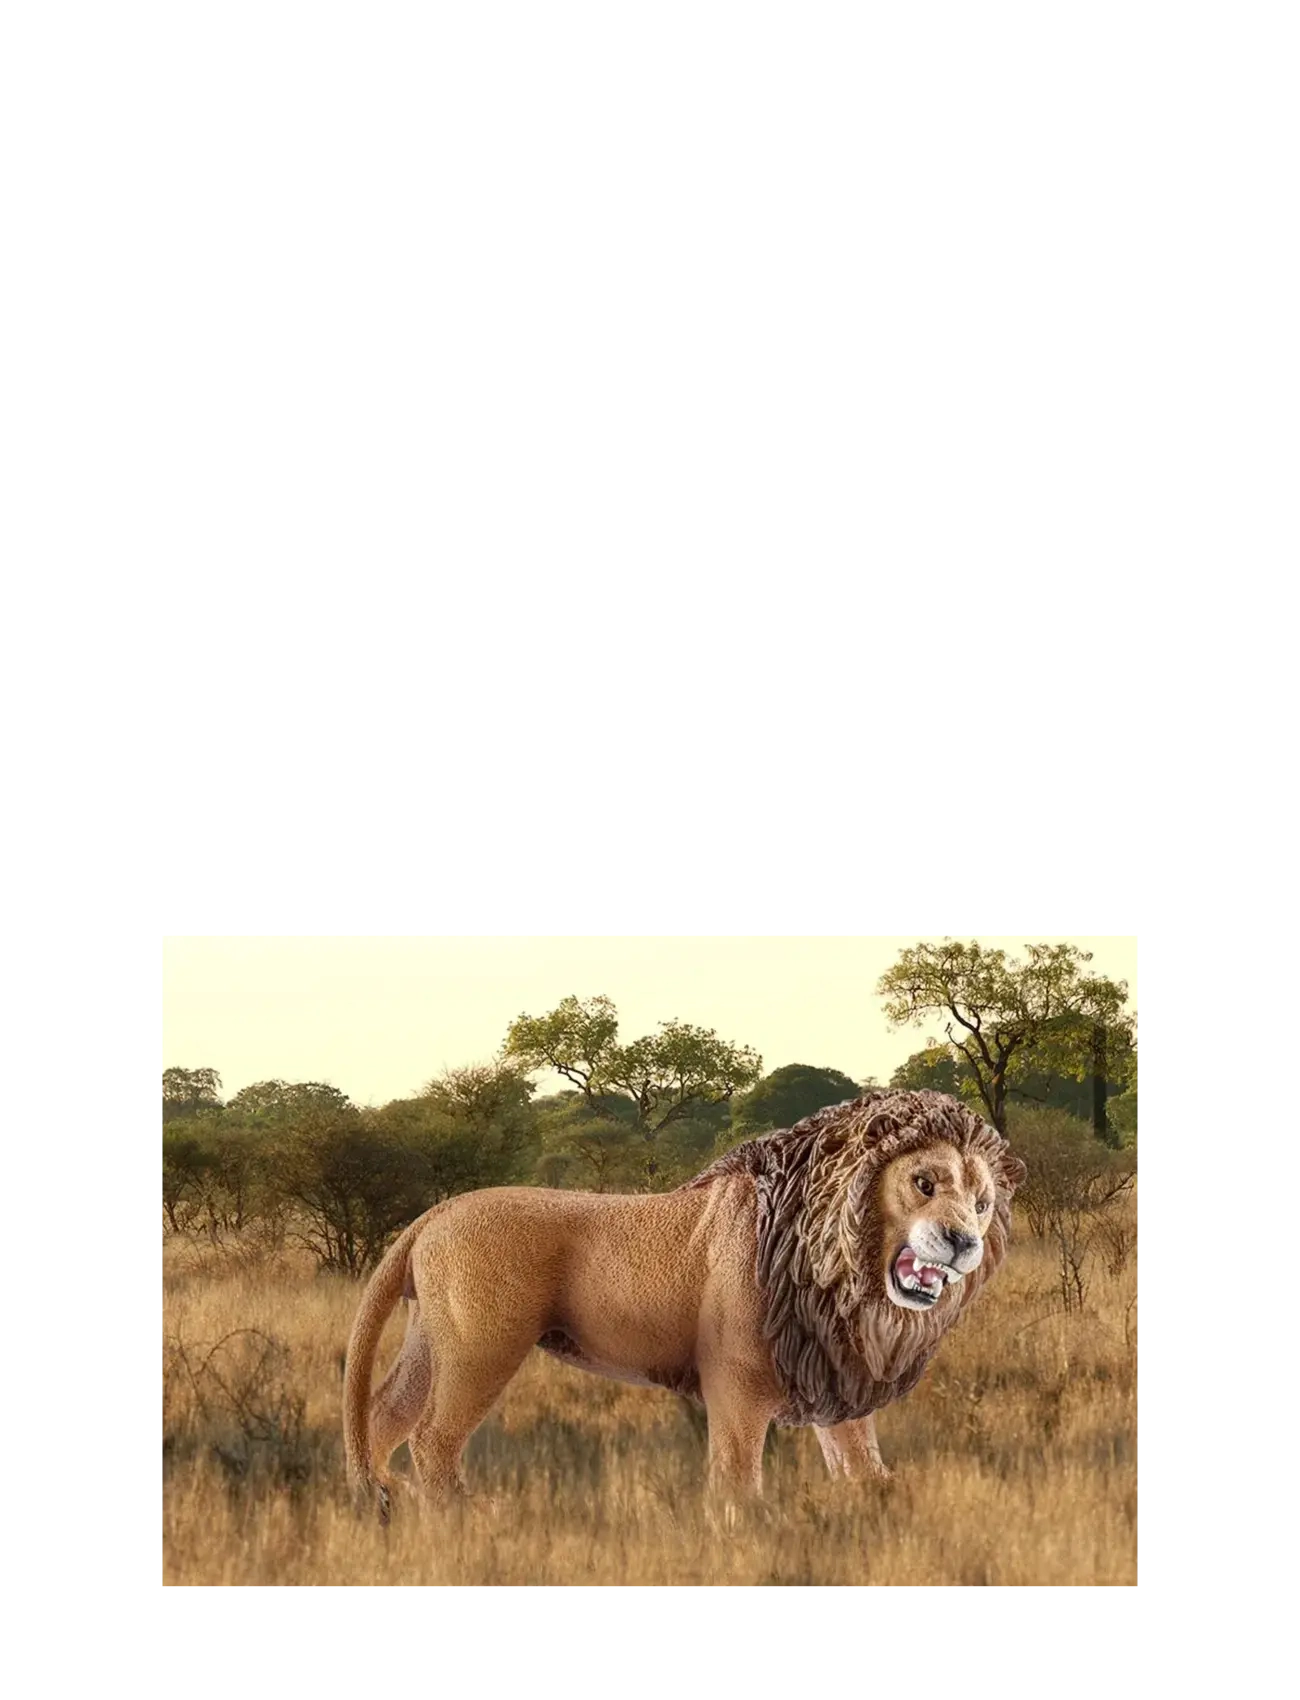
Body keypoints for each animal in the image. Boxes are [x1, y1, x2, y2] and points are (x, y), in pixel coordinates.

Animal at [342, 1088, 1026, 1515]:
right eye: (924, 1183)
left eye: (983, 1203)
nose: (965, 1241)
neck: (845, 1280)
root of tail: (434, 1213)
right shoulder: (737, 1380)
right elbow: (736, 1469)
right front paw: (745, 1525)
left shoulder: (833, 1369)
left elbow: (857, 1451)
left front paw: (878, 1497)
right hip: (483, 1348)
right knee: (431, 1435)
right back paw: (461, 1513)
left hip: (432, 1339)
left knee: (384, 1413)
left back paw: (386, 1501)